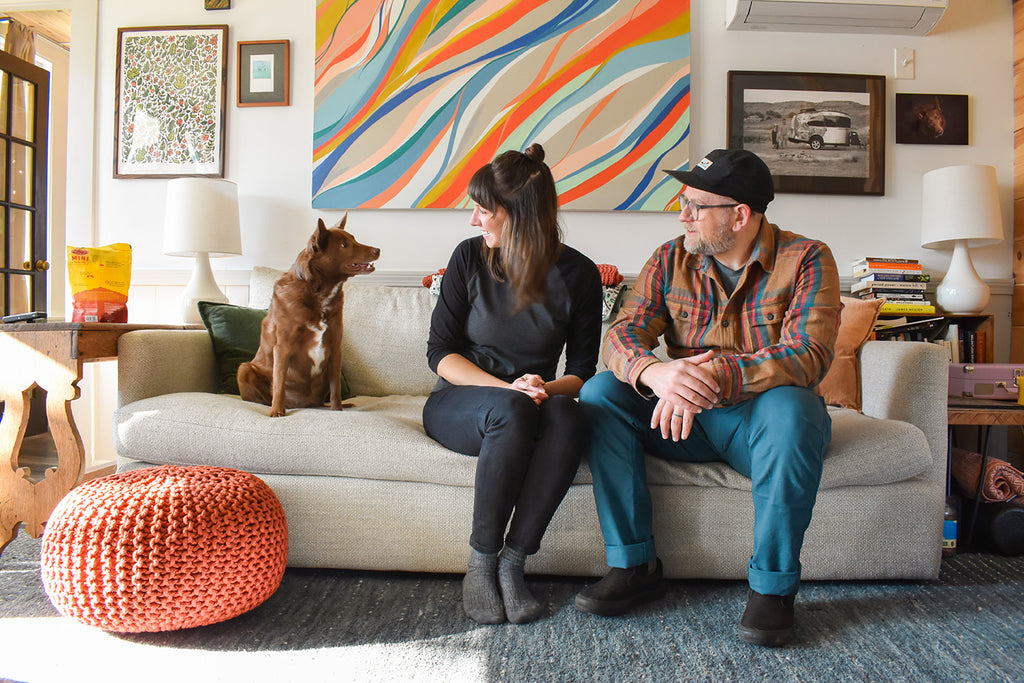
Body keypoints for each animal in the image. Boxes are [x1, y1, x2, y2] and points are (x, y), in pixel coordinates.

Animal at [237, 216, 382, 417]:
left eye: (354, 239)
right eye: (344, 245)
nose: (377, 250)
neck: (319, 295)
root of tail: (305, 403)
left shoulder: (335, 347)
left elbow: (336, 387)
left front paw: (338, 410)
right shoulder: (282, 347)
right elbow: (279, 383)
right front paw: (277, 411)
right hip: (244, 368)